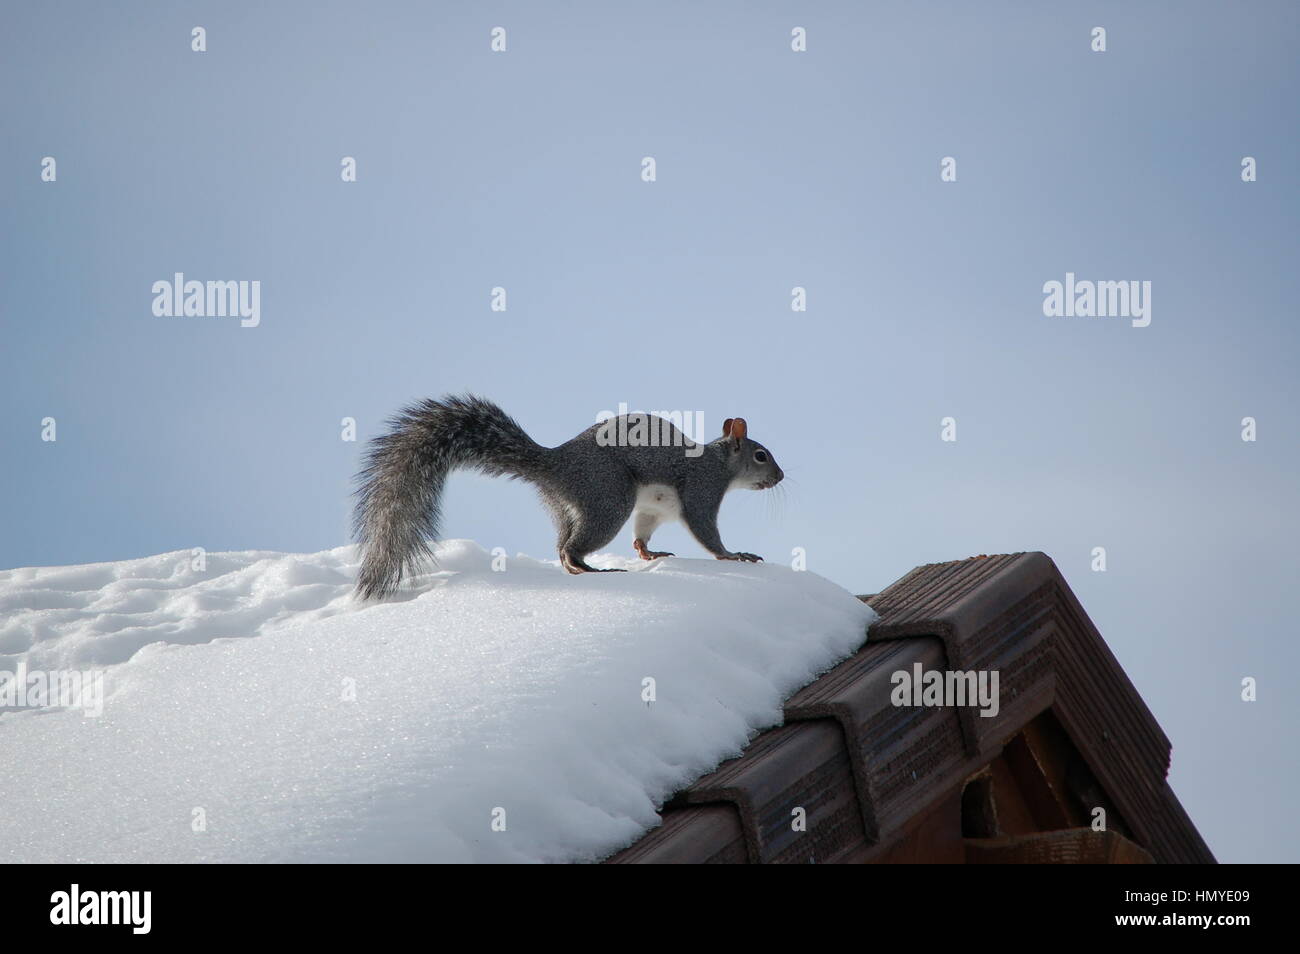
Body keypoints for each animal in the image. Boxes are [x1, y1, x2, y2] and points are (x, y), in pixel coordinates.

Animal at [351, 395, 785, 597]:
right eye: (761, 455)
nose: (780, 477)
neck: (718, 462)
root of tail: (555, 463)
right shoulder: (701, 490)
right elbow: (706, 532)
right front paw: (735, 555)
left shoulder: (653, 509)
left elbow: (643, 531)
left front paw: (648, 552)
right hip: (608, 498)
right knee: (572, 547)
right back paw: (589, 569)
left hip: (567, 507)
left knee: (561, 543)